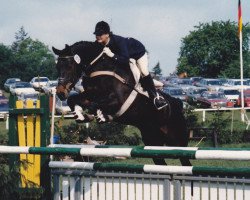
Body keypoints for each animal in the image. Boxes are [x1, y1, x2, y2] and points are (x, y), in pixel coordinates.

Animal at [51, 41, 190, 166]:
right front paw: (81, 116)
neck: (102, 69)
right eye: (57, 67)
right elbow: (73, 100)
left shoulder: (117, 101)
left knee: (185, 161)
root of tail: (178, 103)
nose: (60, 93)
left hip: (178, 143)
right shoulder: (90, 95)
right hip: (153, 141)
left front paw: (99, 116)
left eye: (69, 66)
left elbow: (94, 105)